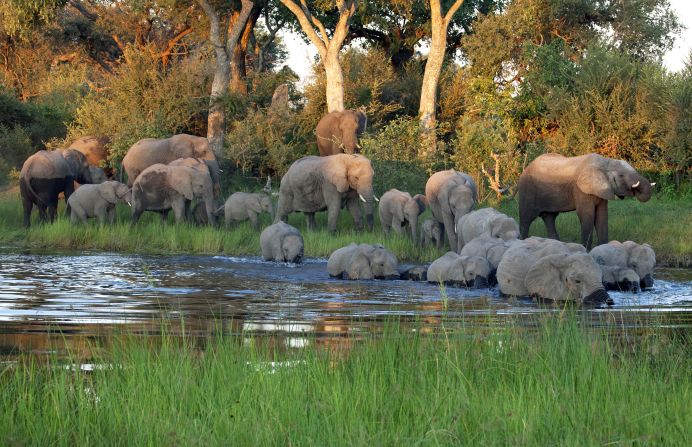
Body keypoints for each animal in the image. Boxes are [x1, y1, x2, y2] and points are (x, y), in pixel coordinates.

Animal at [520, 154, 656, 250]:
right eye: (621, 175)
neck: (605, 162)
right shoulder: (581, 190)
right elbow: (587, 215)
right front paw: (586, 249)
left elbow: (602, 216)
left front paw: (603, 248)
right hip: (528, 189)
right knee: (527, 218)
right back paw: (522, 241)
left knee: (549, 217)